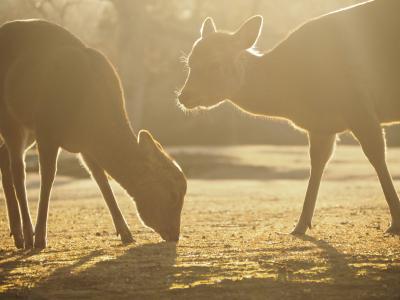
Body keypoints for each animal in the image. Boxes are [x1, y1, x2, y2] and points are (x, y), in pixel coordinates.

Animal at [0, 18, 188, 248]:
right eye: (173, 194)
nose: (175, 235)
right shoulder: (48, 128)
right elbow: (48, 176)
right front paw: (40, 238)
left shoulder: (85, 146)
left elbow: (100, 178)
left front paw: (126, 233)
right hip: (10, 118)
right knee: (18, 169)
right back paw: (27, 235)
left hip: (27, 130)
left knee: (4, 157)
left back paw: (17, 234)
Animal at [179, 0, 400, 234]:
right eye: (190, 62)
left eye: (215, 64)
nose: (183, 96)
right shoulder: (322, 127)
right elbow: (317, 163)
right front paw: (299, 226)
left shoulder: (358, 103)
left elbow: (376, 155)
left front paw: (395, 223)